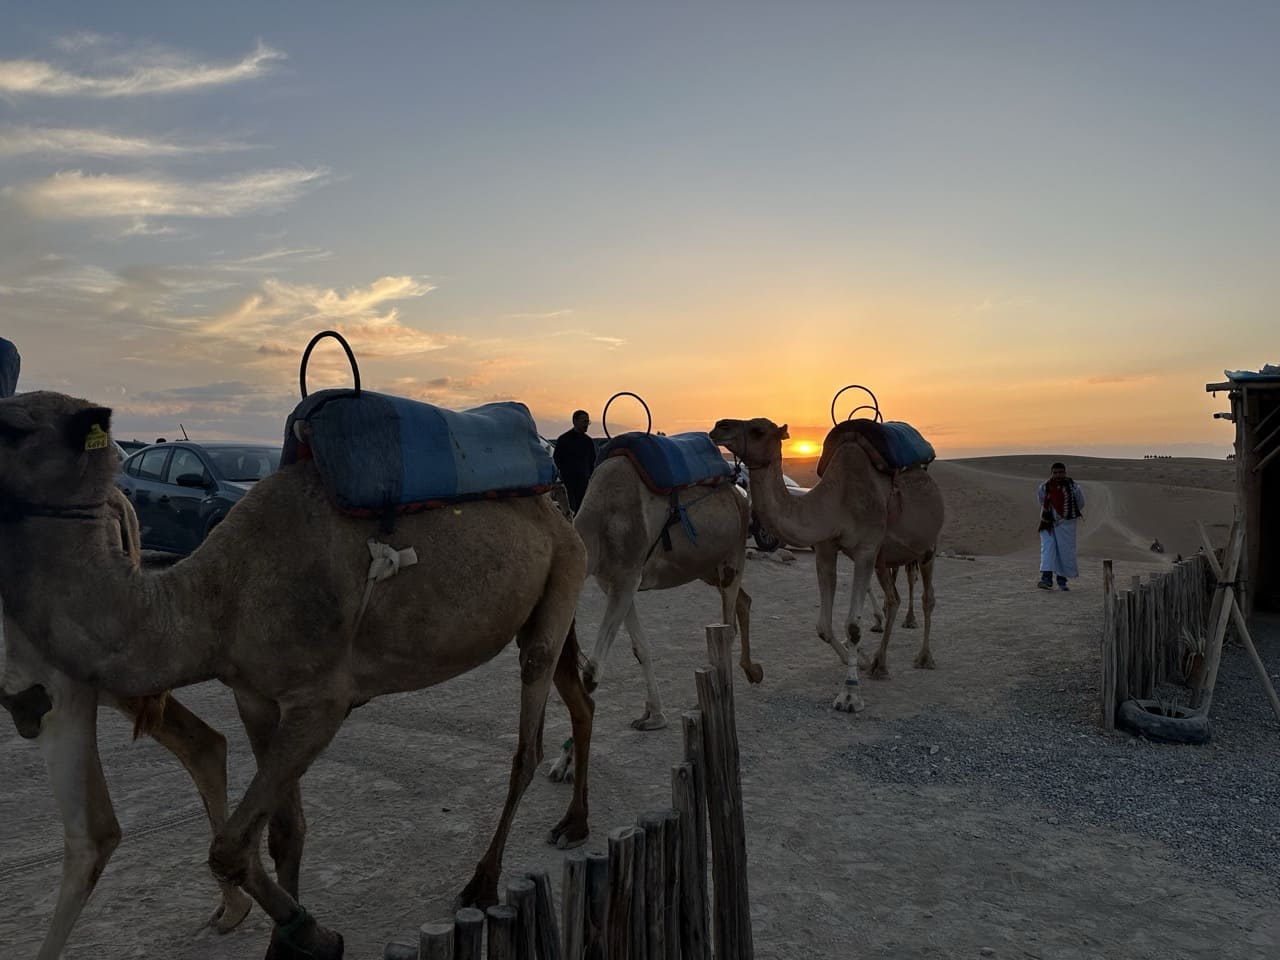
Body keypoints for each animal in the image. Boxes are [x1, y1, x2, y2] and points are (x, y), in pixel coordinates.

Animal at [547, 432, 747, 778]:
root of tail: (739, 491)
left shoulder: (626, 576)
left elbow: (592, 671)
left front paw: (565, 761)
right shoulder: (615, 583)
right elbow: (640, 648)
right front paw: (654, 716)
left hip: (733, 556)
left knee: (729, 622)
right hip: (709, 567)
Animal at [706, 419, 947, 716]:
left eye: (758, 430)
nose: (719, 426)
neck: (837, 499)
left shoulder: (866, 549)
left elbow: (853, 626)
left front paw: (850, 695)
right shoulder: (825, 549)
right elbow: (823, 625)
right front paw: (862, 660)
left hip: (928, 546)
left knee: (928, 597)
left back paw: (924, 657)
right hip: (884, 558)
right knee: (893, 599)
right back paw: (880, 664)